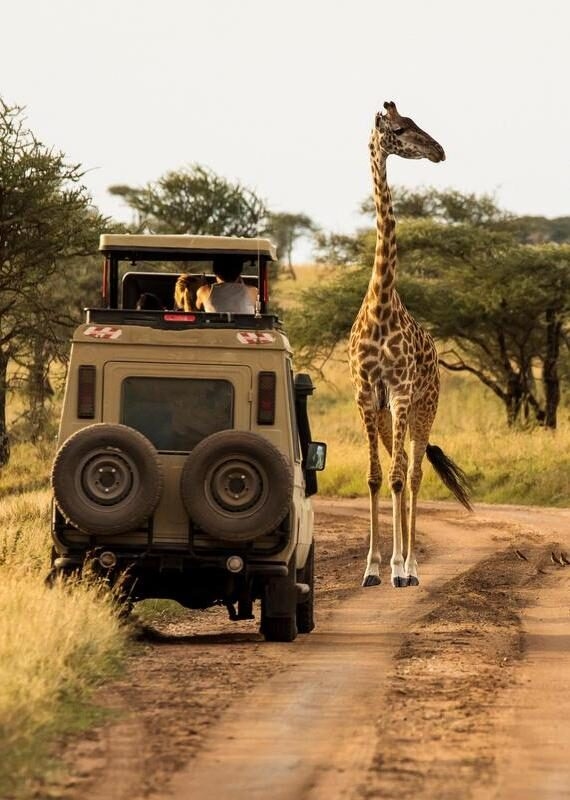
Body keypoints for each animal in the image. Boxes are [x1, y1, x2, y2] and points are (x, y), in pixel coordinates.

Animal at [349, 101, 472, 589]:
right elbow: (375, 476)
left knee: (415, 473)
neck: (381, 303)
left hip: (425, 408)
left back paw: (413, 567)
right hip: (388, 416)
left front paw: (399, 568)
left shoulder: (401, 393)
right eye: (400, 129)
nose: (439, 150)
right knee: (398, 466)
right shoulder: (368, 396)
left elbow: (401, 477)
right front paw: (371, 569)